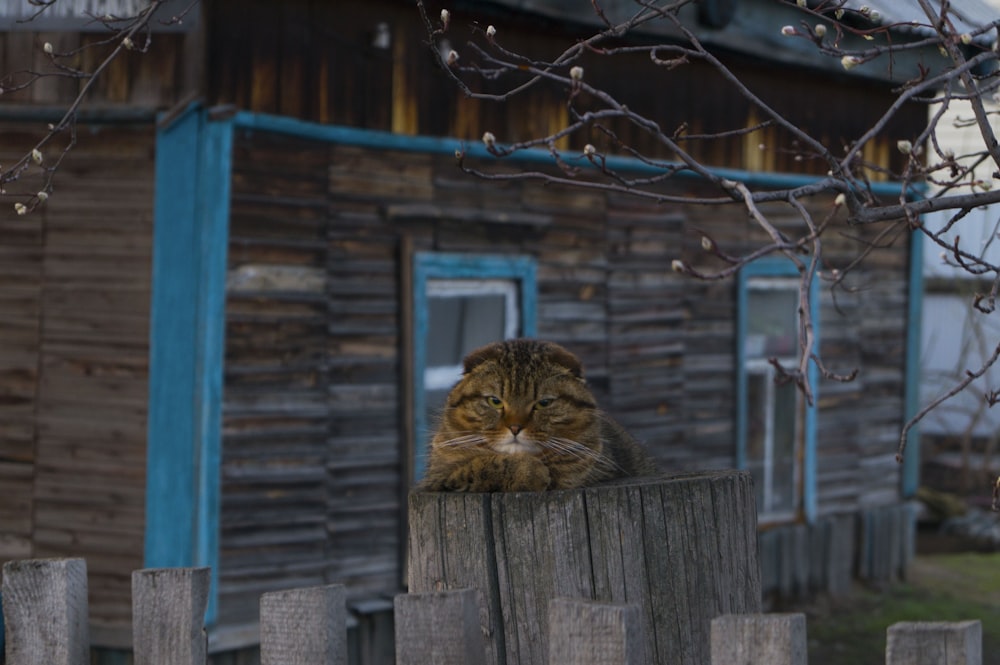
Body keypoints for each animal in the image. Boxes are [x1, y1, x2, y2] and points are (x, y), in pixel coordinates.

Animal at [420, 340, 656, 490]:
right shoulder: (436, 479)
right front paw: (532, 472)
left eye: (543, 403)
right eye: (494, 401)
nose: (515, 427)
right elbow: (483, 465)